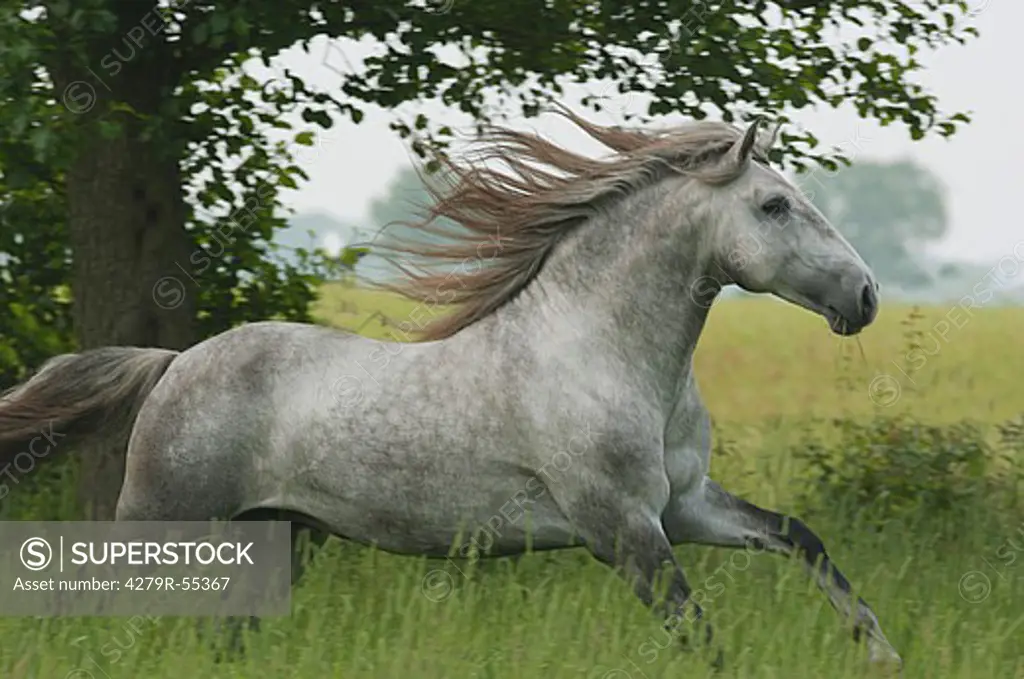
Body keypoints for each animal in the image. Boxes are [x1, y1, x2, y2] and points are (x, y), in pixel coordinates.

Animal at [0, 111, 901, 667]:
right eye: (775, 204)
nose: (864, 297)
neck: (604, 353)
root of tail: (172, 362)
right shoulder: (622, 527)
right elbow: (700, 635)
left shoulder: (685, 506)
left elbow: (800, 537)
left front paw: (882, 650)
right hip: (165, 520)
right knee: (95, 604)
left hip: (271, 537)